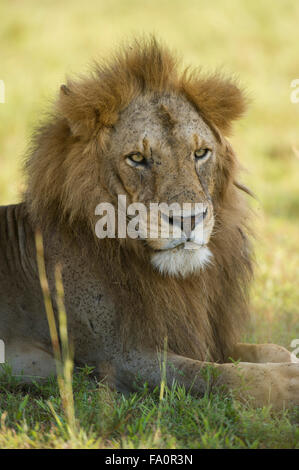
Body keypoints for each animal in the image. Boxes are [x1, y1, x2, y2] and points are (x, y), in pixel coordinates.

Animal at [0, 38, 299, 410]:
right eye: (138, 159)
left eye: (200, 153)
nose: (188, 219)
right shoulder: (116, 359)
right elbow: (218, 374)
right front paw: (287, 384)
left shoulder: (202, 337)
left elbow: (270, 350)